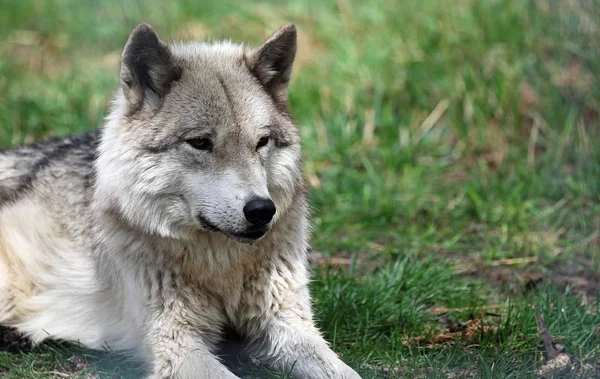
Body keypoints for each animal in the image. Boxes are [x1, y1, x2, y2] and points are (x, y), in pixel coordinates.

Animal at [0, 24, 360, 379]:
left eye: (262, 142)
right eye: (200, 142)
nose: (261, 210)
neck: (221, 266)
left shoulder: (286, 323)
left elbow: (344, 371)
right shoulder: (178, 345)